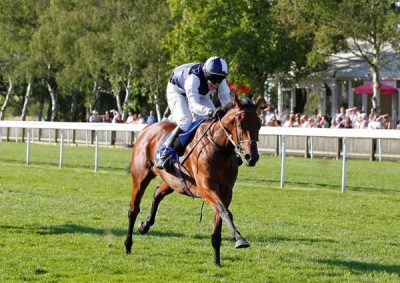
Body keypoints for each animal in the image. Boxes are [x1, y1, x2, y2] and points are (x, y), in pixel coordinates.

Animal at [125, 96, 262, 268]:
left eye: (259, 123)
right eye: (240, 123)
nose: (252, 157)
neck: (219, 149)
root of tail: (147, 129)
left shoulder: (226, 191)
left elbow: (220, 219)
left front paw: (217, 261)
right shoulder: (207, 188)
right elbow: (225, 212)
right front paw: (239, 239)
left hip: (173, 181)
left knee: (157, 193)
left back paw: (144, 226)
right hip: (140, 177)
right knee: (133, 210)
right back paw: (128, 244)